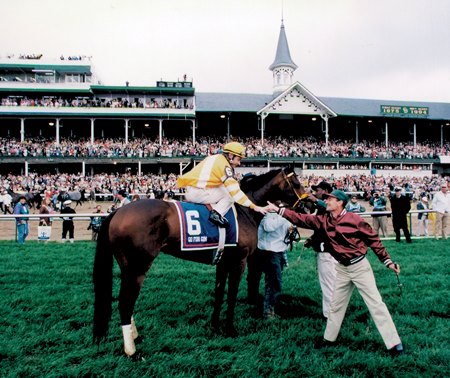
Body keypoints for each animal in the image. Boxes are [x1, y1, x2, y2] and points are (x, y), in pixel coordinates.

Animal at [94, 167, 306, 356]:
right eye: (296, 182)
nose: (308, 204)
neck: (244, 211)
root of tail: (117, 212)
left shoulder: (223, 262)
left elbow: (219, 292)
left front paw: (215, 325)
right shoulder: (239, 261)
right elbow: (231, 295)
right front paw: (230, 329)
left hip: (127, 267)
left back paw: (134, 336)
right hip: (138, 266)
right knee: (125, 302)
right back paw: (131, 350)